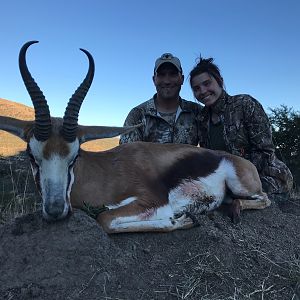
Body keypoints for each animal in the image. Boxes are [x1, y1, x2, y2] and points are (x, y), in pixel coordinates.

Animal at [0, 41, 270, 233]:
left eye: (74, 157)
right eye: (32, 156)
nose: (55, 210)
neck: (104, 172)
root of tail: (237, 160)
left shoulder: (153, 200)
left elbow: (105, 219)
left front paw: (183, 219)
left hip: (242, 187)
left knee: (264, 199)